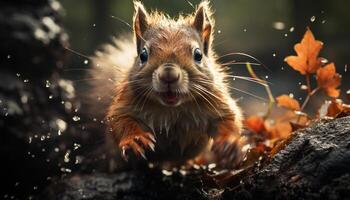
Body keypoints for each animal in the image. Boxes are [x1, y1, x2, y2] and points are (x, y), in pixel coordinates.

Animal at [90, 0, 243, 167]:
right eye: (143, 55)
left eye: (198, 55)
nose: (168, 75)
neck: (172, 110)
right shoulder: (126, 100)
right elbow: (120, 120)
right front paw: (135, 140)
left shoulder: (215, 99)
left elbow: (229, 119)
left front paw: (229, 144)